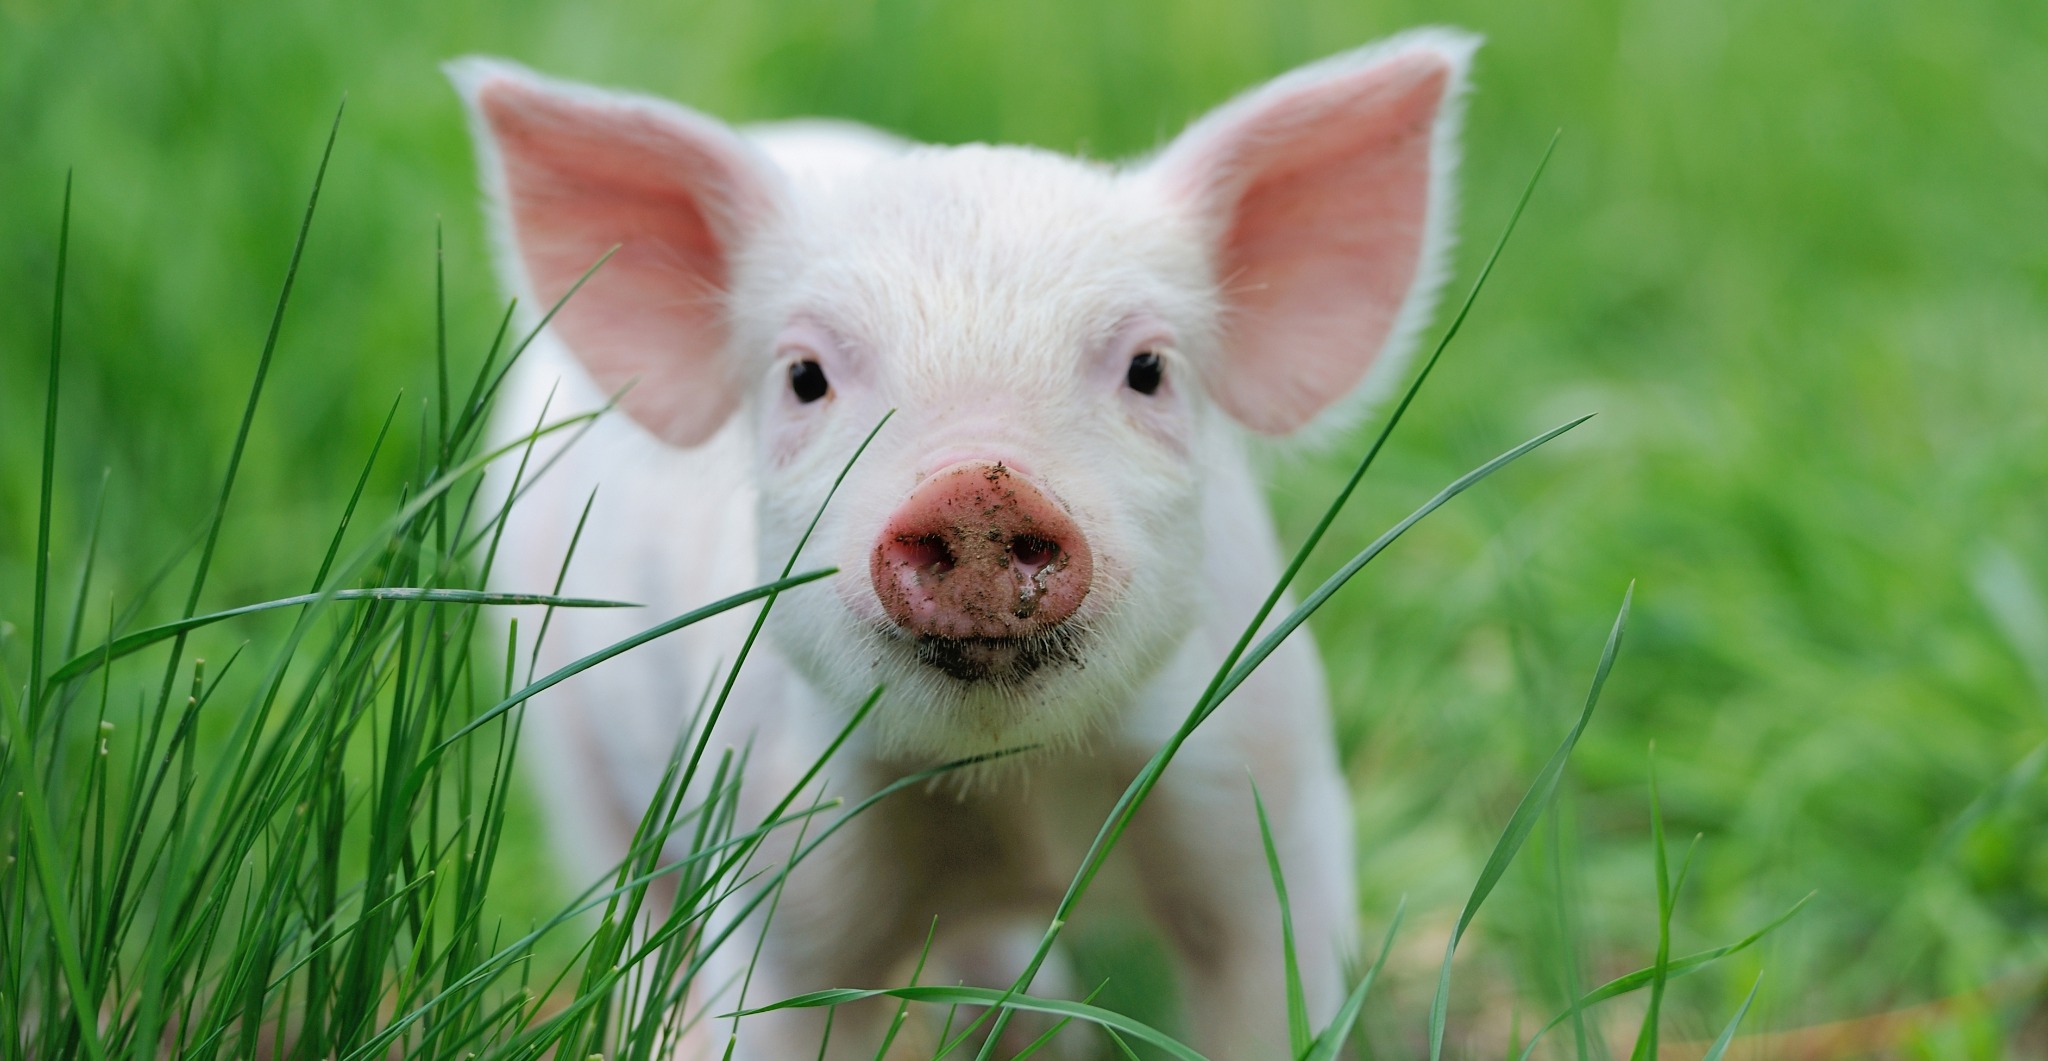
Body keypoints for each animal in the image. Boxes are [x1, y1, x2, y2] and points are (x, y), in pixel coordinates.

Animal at [452, 29, 1474, 1056]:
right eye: (804, 377)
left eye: (1149, 368)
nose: (979, 487)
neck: (1011, 788)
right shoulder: (774, 861)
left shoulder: (1275, 809)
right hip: (568, 746)